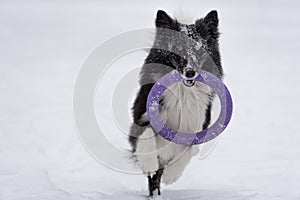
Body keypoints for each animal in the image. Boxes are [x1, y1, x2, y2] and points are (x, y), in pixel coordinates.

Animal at [128, 9, 223, 197]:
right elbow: (146, 133)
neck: (183, 91)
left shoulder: (198, 125)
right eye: (178, 50)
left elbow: (189, 150)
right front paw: (148, 163)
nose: (190, 73)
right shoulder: (141, 117)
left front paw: (172, 174)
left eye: (200, 51)